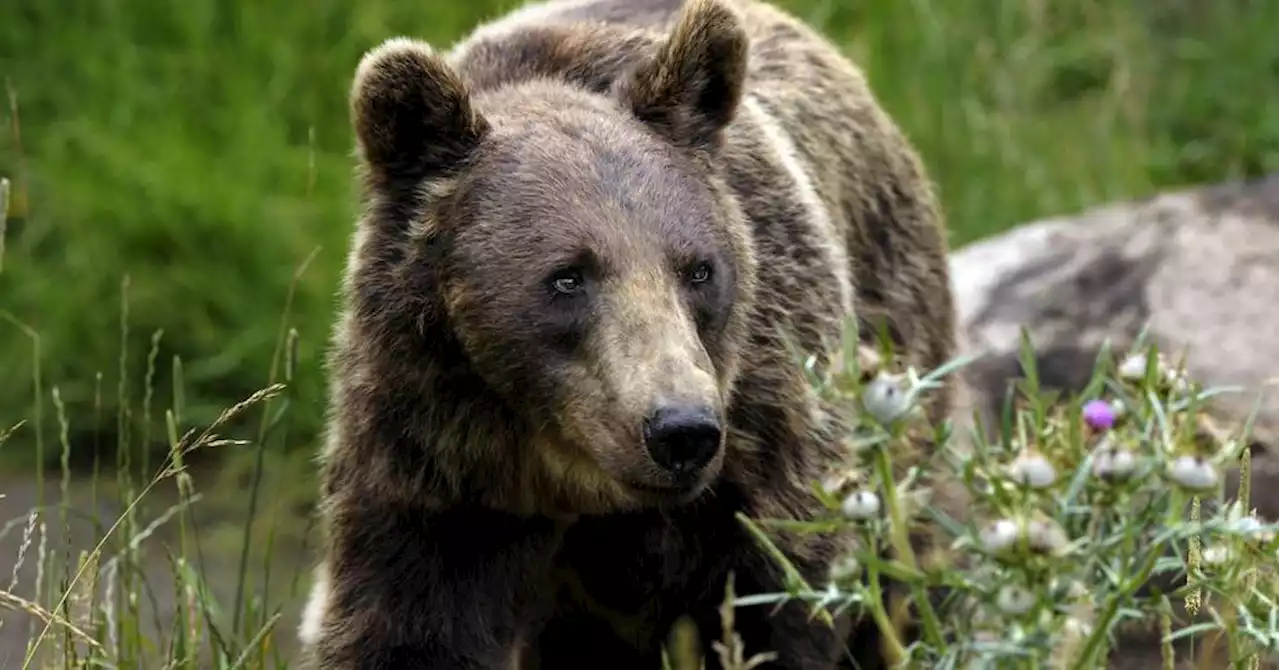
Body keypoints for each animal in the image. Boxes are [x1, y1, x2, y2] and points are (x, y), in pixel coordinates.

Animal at [299, 0, 957, 666]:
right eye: (567, 277)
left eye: (698, 269)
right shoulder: (433, 470)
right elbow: (408, 628)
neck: (570, 477)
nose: (681, 429)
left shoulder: (764, 451)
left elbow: (776, 602)